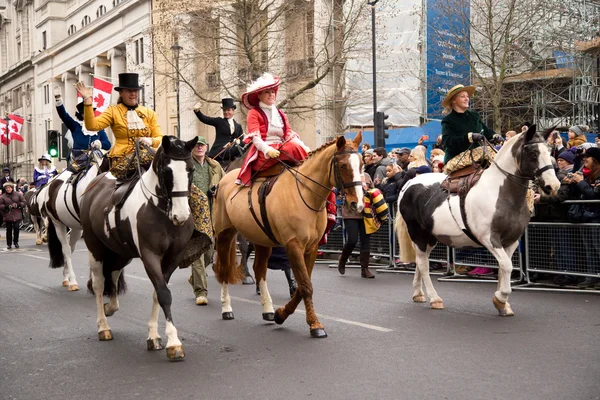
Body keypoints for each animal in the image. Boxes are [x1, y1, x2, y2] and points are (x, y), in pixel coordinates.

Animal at [36, 148, 108, 292]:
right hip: (58, 224)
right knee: (66, 249)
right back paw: (72, 281)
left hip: (75, 228)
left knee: (71, 247)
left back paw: (66, 277)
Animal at [78, 136, 197, 360]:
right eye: (167, 170)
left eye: (191, 169)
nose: (181, 215)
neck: (160, 210)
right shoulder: (149, 255)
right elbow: (164, 294)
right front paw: (173, 342)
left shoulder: (173, 257)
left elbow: (159, 292)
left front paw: (153, 336)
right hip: (94, 247)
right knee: (99, 284)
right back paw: (103, 326)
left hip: (121, 252)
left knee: (113, 275)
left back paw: (110, 307)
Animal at [213, 132, 364, 338]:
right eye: (342, 165)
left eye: (362, 164)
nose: (358, 204)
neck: (306, 195)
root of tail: (225, 177)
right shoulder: (293, 245)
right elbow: (306, 286)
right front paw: (315, 325)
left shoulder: (312, 247)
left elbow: (302, 284)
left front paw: (281, 314)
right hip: (225, 234)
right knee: (225, 269)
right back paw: (226, 308)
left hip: (261, 239)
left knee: (260, 269)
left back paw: (268, 310)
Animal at [396, 125, 560, 316]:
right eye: (533, 153)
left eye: (550, 151)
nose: (553, 186)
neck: (501, 193)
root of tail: (409, 184)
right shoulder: (490, 239)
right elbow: (507, 266)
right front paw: (500, 298)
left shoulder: (511, 241)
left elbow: (504, 268)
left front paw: (503, 305)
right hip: (418, 234)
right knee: (423, 264)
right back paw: (435, 299)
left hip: (431, 237)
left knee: (421, 261)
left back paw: (418, 293)